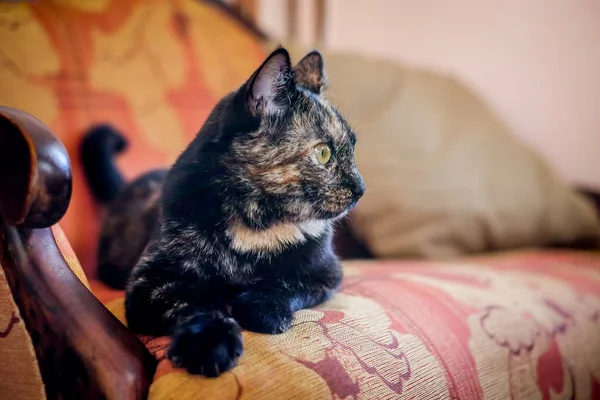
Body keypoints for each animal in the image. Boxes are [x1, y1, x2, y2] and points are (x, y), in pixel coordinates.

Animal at [81, 48, 364, 376]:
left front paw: (262, 308)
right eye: (323, 153)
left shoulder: (325, 272)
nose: (361, 188)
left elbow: (286, 282)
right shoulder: (149, 283)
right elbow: (195, 303)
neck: (256, 224)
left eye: (353, 149)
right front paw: (210, 342)